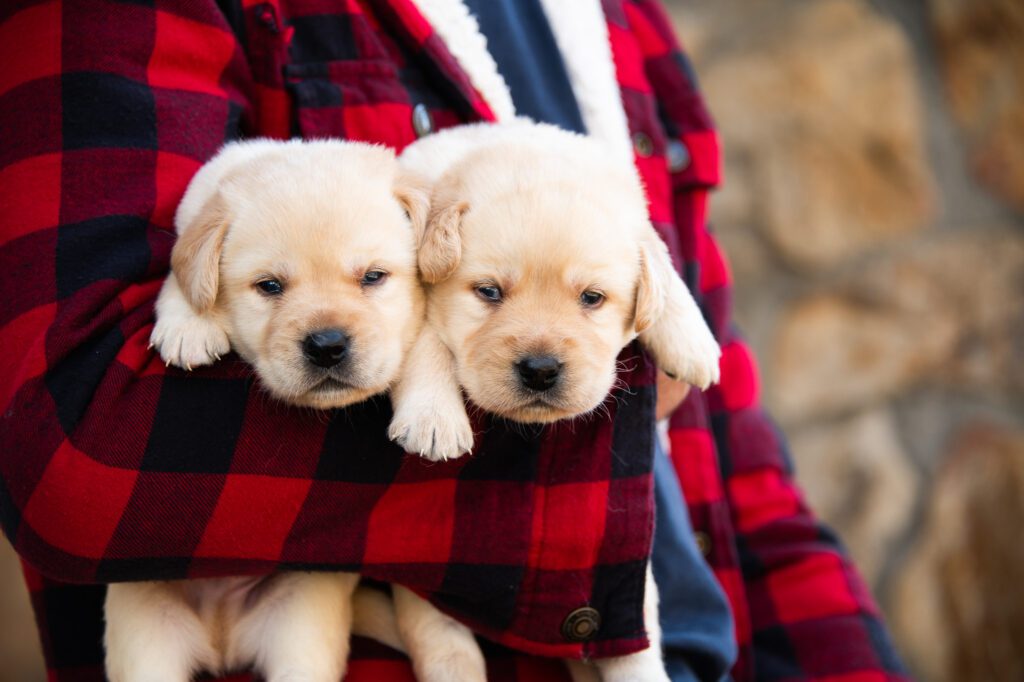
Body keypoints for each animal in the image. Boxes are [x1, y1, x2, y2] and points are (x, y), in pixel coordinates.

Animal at [103, 137, 440, 679]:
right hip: (146, 637)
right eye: (270, 286)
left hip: (300, 627)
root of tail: (222, 642)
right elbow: (179, 275)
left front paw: (433, 416)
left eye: (373, 277)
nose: (327, 345)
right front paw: (189, 324)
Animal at [387, 122, 724, 679]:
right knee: (437, 626)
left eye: (592, 298)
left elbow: (661, 261)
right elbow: (429, 339)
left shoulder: (638, 221)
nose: (541, 370)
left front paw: (694, 343)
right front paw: (434, 417)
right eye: (489, 292)